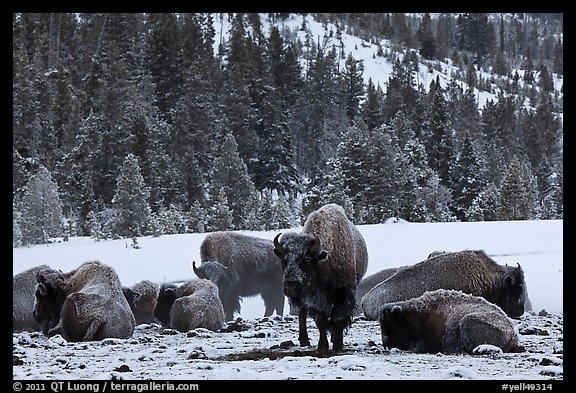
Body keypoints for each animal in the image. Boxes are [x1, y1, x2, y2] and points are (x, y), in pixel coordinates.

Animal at [272, 204, 368, 350]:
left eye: (306, 260)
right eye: (284, 260)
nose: (291, 287)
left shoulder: (344, 291)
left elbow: (338, 318)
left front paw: (338, 344)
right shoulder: (314, 298)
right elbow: (321, 321)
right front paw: (322, 346)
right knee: (302, 313)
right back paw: (304, 340)